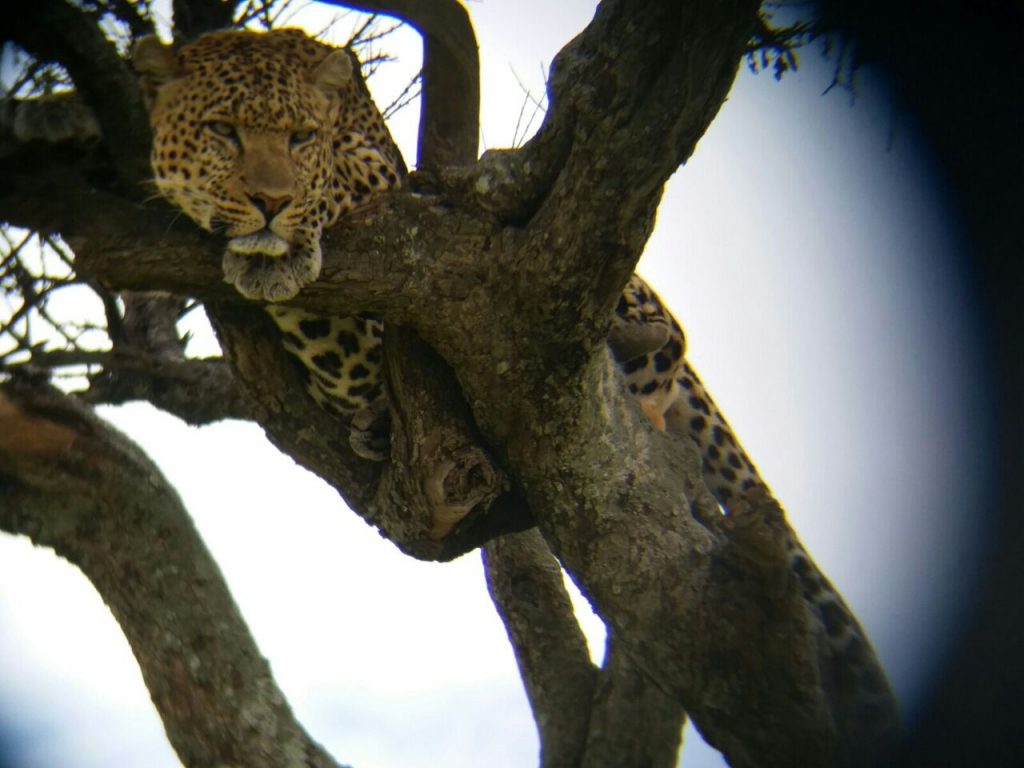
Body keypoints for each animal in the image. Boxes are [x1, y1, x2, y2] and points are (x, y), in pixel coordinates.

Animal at [134, 27, 888, 729]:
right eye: (223, 132)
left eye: (299, 138)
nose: (268, 202)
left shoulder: (387, 187)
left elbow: (336, 200)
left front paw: (286, 237)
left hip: (626, 307)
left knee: (666, 340)